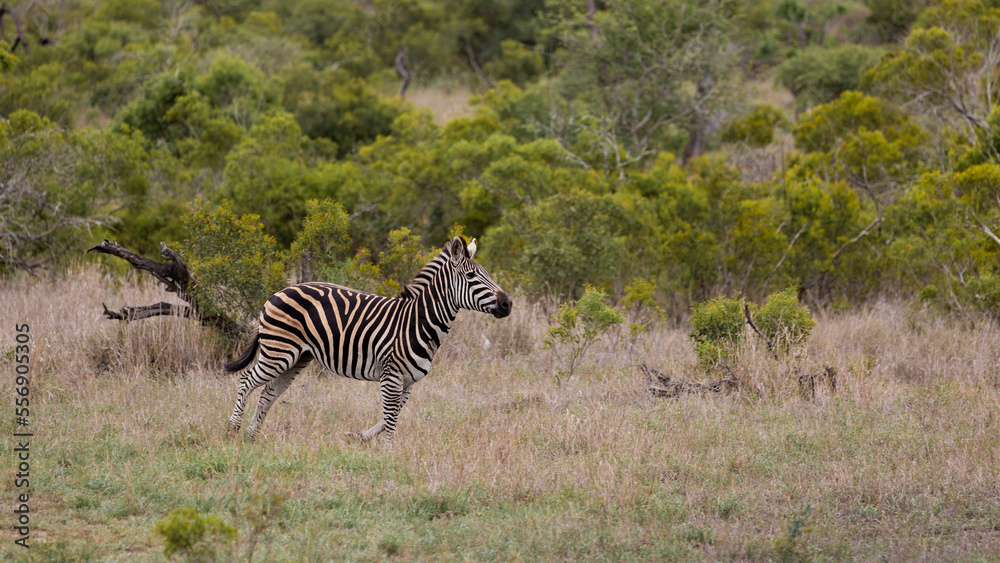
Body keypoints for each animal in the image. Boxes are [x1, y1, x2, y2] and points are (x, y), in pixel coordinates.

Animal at [223, 236, 512, 442]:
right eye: (471, 276)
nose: (507, 303)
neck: (417, 322)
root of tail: (278, 291)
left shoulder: (408, 382)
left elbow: (390, 416)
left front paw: (360, 437)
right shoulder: (391, 376)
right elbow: (391, 418)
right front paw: (389, 453)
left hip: (297, 357)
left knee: (268, 393)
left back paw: (252, 435)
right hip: (279, 351)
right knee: (247, 380)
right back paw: (232, 431)